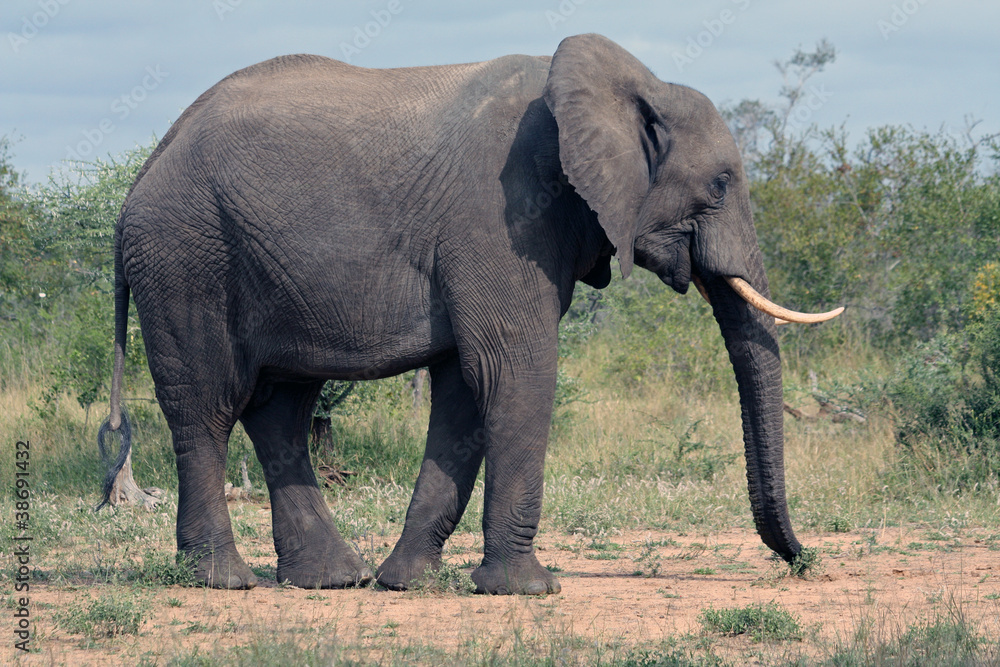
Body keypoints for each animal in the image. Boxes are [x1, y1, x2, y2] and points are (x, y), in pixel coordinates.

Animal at [98, 33, 841, 595]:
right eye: (719, 187)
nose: (803, 562)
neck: (633, 85)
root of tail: (144, 171)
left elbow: (463, 391)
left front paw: (408, 582)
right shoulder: (502, 212)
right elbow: (513, 372)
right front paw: (527, 590)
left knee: (280, 406)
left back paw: (332, 579)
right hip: (187, 257)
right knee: (207, 406)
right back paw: (224, 579)